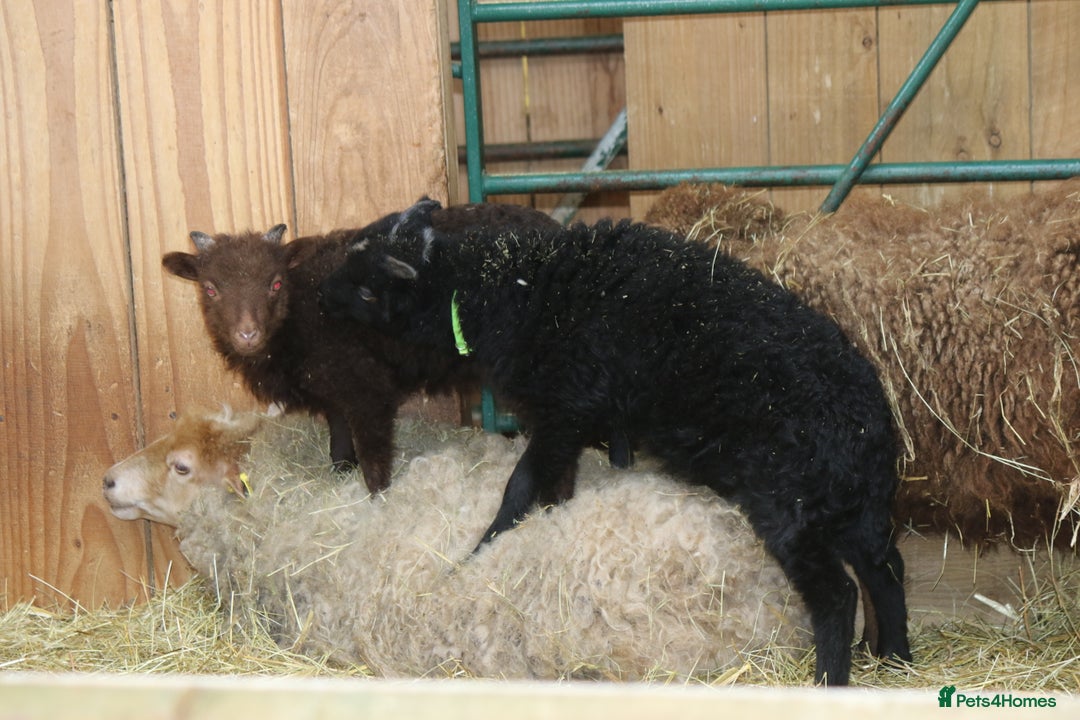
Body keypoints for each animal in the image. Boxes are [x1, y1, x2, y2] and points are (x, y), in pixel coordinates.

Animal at [161, 202, 557, 492]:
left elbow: (373, 452)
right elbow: (339, 435)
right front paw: (341, 473)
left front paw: (377, 497)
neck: (298, 313)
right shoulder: (334, 389)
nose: (247, 334)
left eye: (275, 284)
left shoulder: (363, 385)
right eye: (210, 288)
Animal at [315, 198, 912, 686]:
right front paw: (547, 529)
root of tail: (872, 424)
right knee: (886, 568)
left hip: (788, 502)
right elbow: (557, 484)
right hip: (848, 504)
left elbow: (519, 485)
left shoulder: (563, 407)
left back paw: (830, 682)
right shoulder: (573, 418)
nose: (319, 298)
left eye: (366, 285)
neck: (499, 289)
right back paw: (897, 659)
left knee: (839, 595)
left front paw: (480, 551)